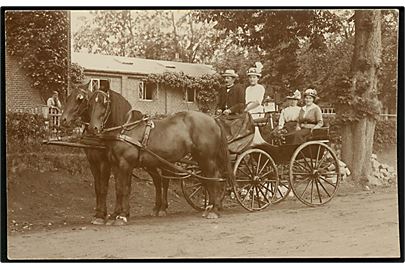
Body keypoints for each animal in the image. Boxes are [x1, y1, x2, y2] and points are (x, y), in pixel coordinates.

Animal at [60, 85, 169, 226]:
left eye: (80, 99)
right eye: (68, 97)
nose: (63, 120)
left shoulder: (106, 163)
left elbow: (108, 187)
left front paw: (106, 215)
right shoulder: (93, 162)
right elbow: (101, 187)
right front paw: (105, 214)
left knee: (165, 180)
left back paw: (163, 208)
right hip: (150, 163)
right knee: (157, 180)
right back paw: (157, 207)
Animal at [87, 89, 234, 223]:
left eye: (105, 103)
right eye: (89, 103)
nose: (93, 128)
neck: (126, 129)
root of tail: (212, 119)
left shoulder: (125, 164)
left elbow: (123, 189)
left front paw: (122, 216)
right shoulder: (116, 165)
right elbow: (120, 188)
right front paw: (116, 214)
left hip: (207, 158)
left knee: (214, 177)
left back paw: (214, 209)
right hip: (199, 159)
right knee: (206, 179)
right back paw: (209, 207)